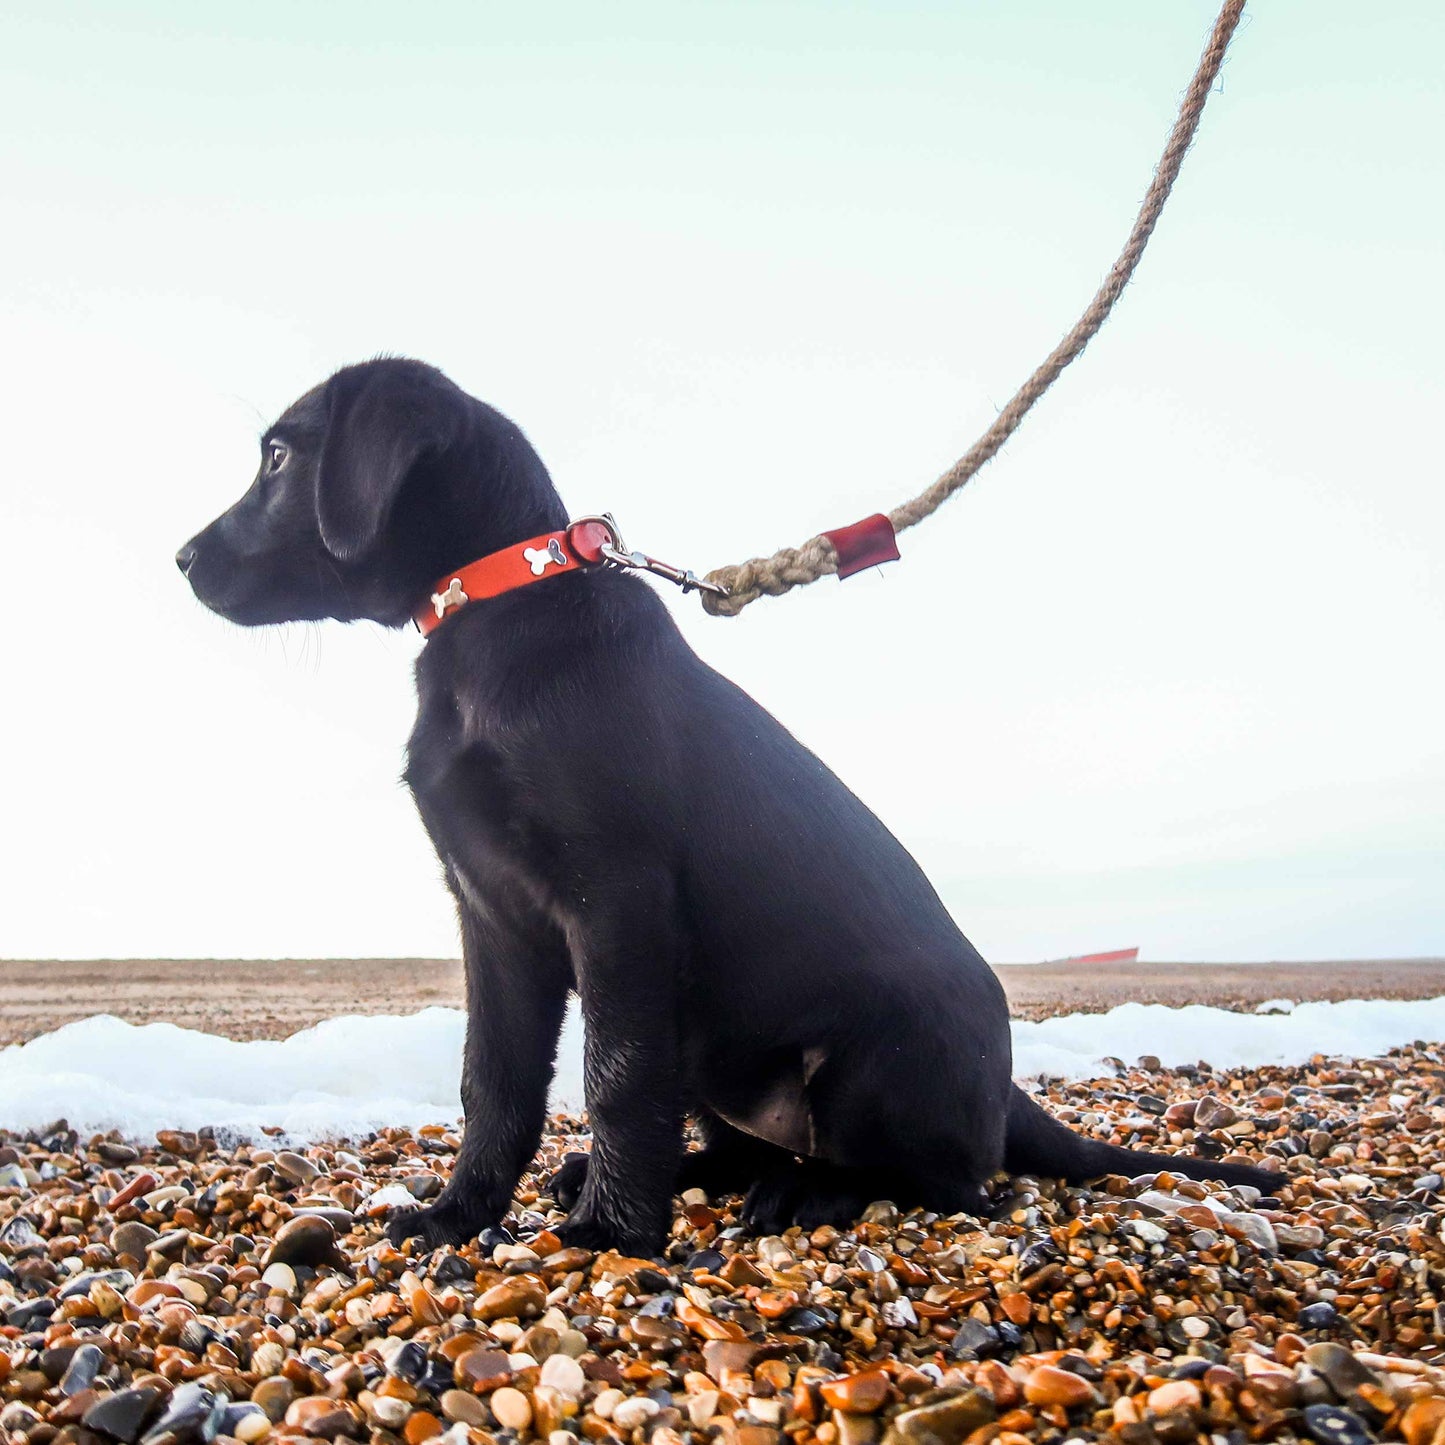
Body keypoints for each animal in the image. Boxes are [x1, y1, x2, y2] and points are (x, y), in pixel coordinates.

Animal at [180, 358, 1277, 1254]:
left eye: (277, 456)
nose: (183, 560)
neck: (497, 609)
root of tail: (1001, 1092)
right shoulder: (492, 917)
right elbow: (492, 1080)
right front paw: (458, 1213)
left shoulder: (617, 901)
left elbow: (614, 1075)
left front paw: (614, 1232)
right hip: (715, 1057)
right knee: (748, 1142)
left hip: (867, 1060)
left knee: (948, 1179)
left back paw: (807, 1193)